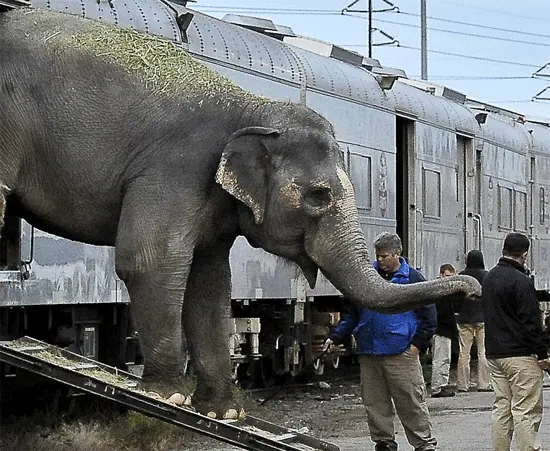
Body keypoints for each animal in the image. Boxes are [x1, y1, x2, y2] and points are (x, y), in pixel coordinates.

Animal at [0, 7, 484, 416]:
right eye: (318, 196)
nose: (472, 287)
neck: (249, 105)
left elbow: (210, 282)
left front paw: (223, 412)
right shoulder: (174, 167)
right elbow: (150, 261)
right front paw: (166, 397)